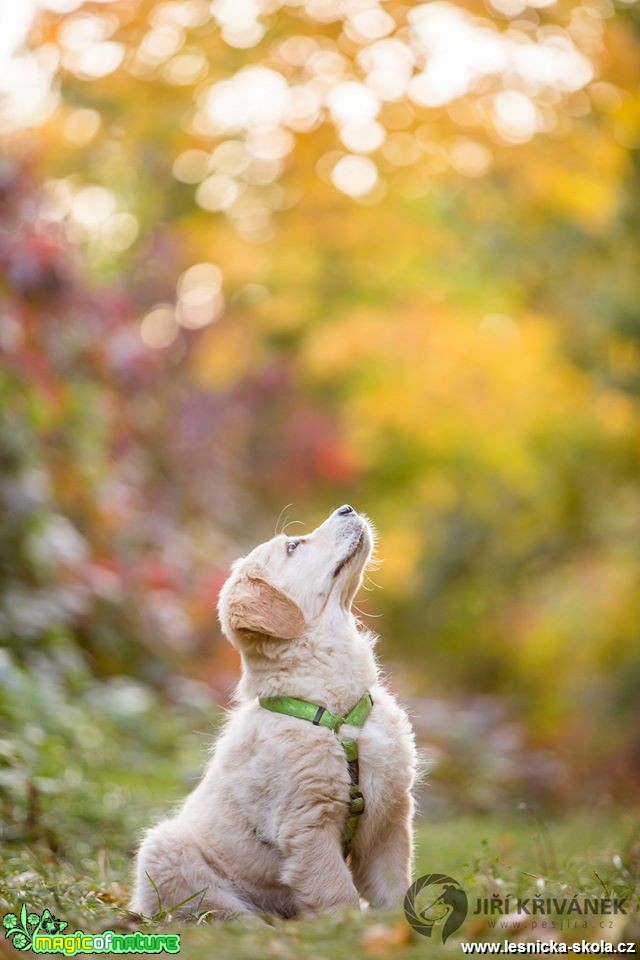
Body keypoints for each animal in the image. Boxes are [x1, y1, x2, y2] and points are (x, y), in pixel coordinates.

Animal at [132, 506, 418, 920]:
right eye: (293, 546)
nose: (346, 508)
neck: (336, 712)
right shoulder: (308, 823)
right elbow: (337, 895)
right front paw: (346, 929)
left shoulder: (391, 817)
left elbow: (393, 887)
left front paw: (395, 927)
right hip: (166, 853)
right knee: (225, 914)